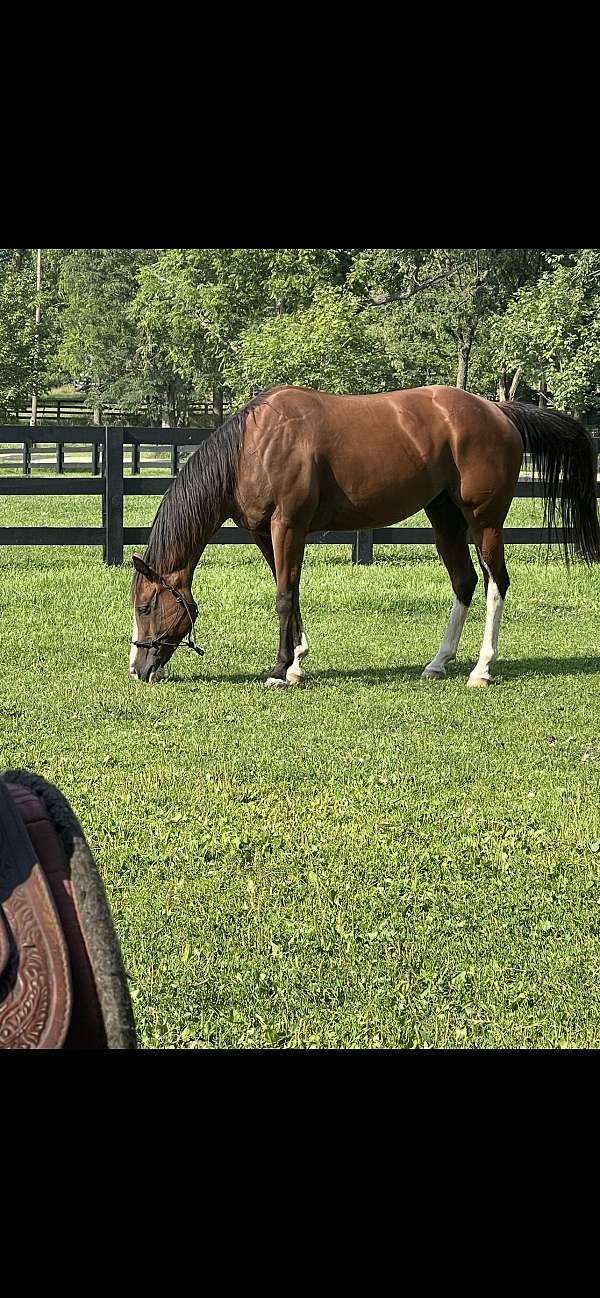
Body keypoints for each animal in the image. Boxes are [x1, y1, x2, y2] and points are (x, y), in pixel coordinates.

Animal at [129, 385, 600, 688]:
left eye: (147, 605)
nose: (138, 668)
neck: (254, 447)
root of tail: (498, 411)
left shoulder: (288, 527)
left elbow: (283, 596)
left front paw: (280, 671)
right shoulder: (266, 533)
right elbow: (291, 590)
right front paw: (297, 662)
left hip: (484, 522)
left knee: (495, 583)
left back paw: (481, 670)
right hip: (444, 518)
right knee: (464, 582)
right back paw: (438, 663)